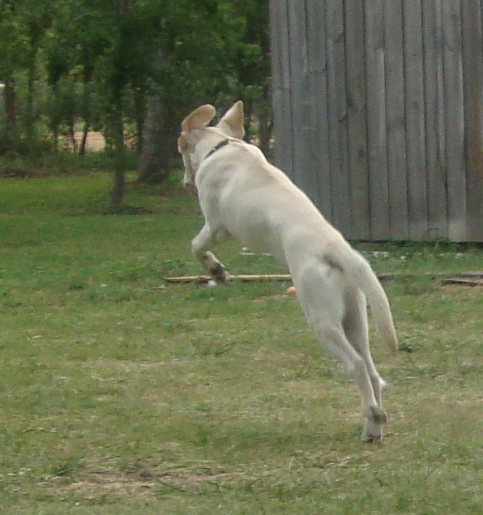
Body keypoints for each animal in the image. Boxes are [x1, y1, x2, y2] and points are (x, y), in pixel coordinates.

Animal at [178, 102, 398, 444]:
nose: (184, 183)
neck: (223, 146)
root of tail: (336, 248)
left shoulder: (216, 227)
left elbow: (196, 246)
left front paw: (216, 270)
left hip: (322, 321)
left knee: (358, 366)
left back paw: (372, 417)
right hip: (354, 318)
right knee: (372, 372)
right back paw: (373, 427)